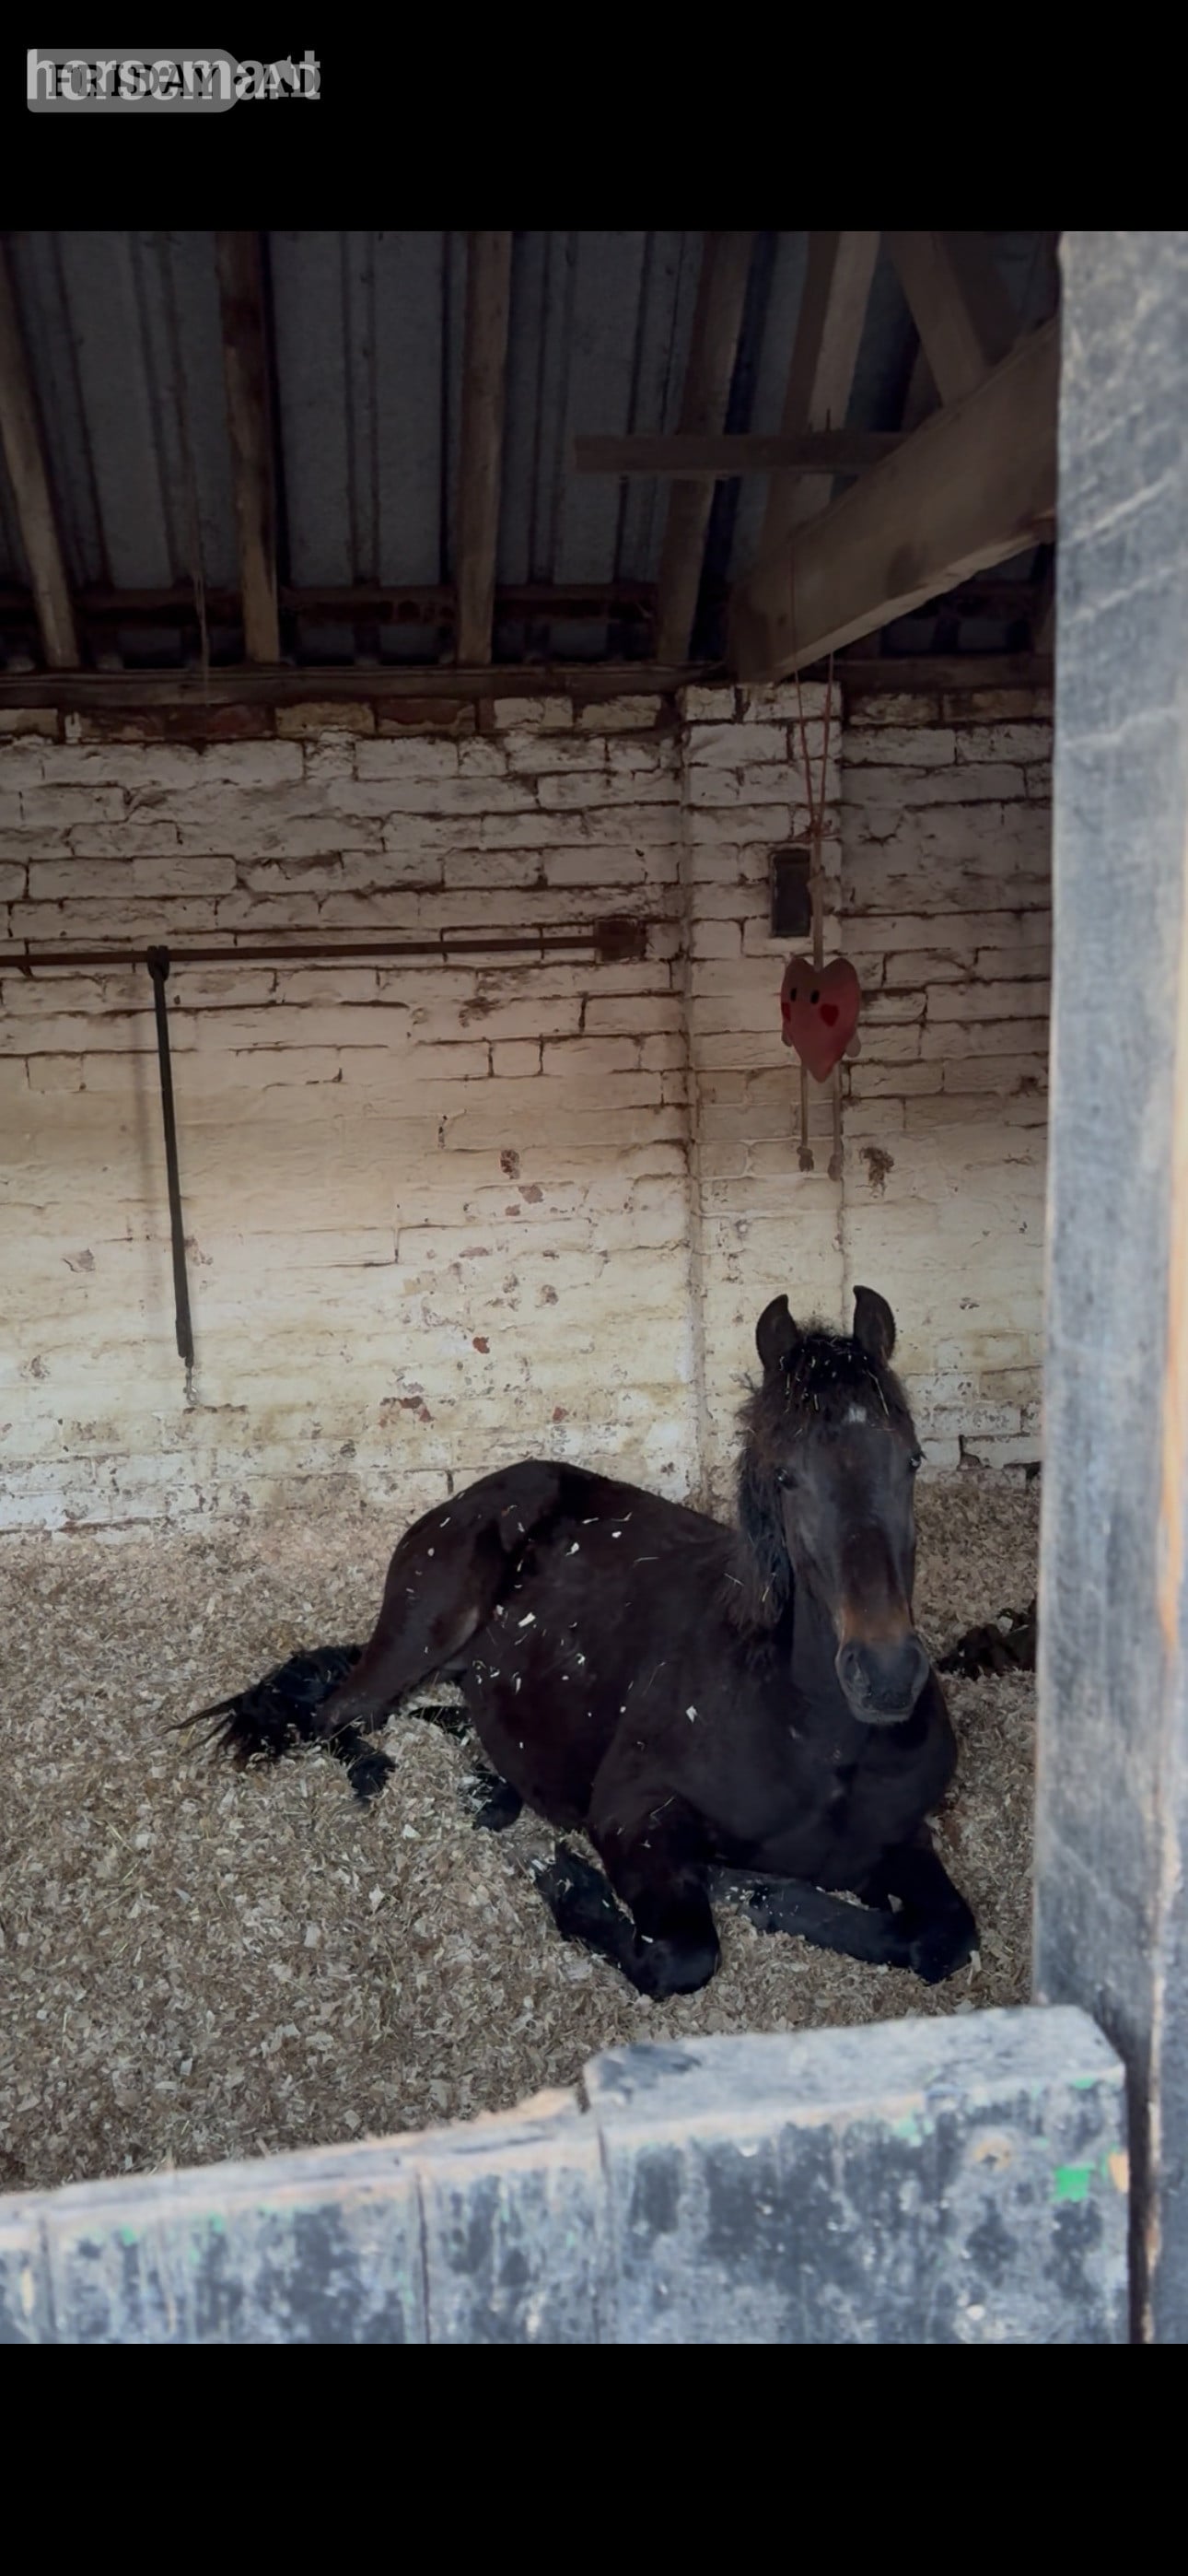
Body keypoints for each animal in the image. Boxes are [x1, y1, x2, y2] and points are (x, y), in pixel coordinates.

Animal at [185, 1283, 977, 2000]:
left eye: (912, 1460)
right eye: (785, 1476)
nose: (885, 1675)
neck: (813, 1739)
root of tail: (486, 1489)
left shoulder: (904, 1841)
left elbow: (945, 1937)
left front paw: (775, 1897)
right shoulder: (630, 1814)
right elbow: (682, 1955)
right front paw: (575, 1883)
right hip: (420, 1639)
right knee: (340, 1715)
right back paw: (381, 1774)